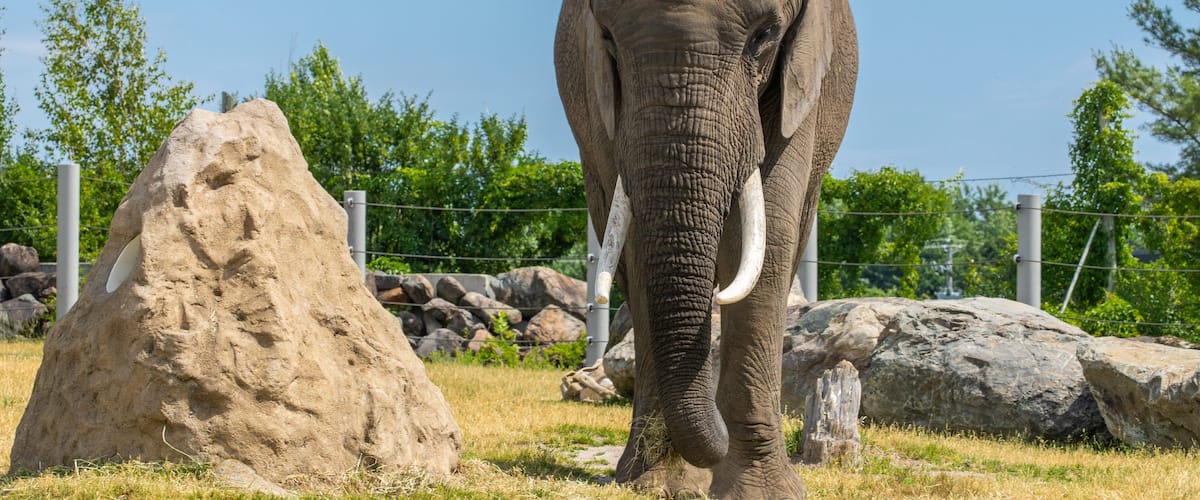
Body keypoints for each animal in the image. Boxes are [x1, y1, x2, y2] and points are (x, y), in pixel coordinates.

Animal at [555, 0, 857, 497]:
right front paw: (659, 484)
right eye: (608, 39)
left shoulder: (802, 87)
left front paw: (762, 491)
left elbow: (771, 226)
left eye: (764, 36)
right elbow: (636, 241)